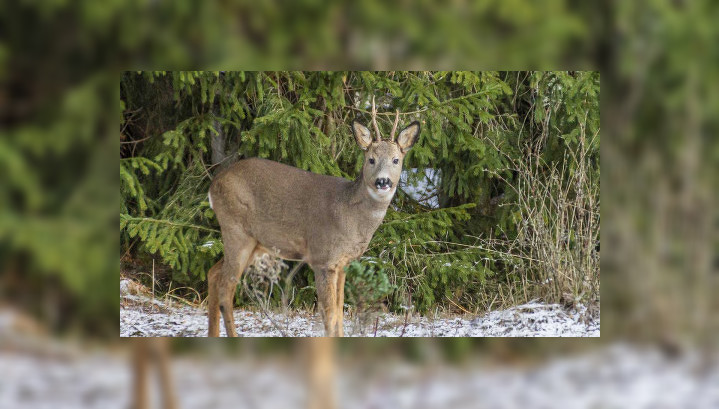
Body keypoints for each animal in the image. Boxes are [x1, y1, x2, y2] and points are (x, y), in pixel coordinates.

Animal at [207, 99, 422, 334]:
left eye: (396, 160)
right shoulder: (323, 258)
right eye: (371, 159)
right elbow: (329, 314)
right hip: (236, 230)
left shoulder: (343, 263)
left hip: (254, 243)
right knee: (226, 287)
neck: (350, 216)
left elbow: (339, 312)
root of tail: (213, 186)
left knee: (213, 273)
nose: (383, 181)